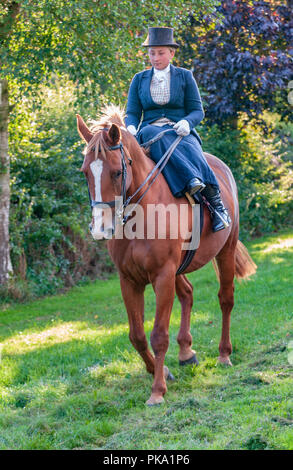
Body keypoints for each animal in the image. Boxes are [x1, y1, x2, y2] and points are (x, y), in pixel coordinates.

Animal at [76, 105, 256, 404]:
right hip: (177, 270)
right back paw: (186, 352)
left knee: (226, 300)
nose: (101, 229)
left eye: (116, 172)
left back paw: (224, 354)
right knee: (188, 294)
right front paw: (162, 371)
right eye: (85, 173)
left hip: (225, 252)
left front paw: (157, 390)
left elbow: (159, 334)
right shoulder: (130, 280)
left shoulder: (162, 276)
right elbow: (136, 335)